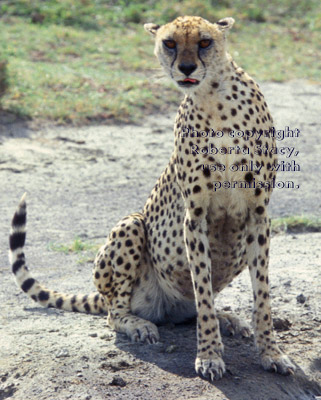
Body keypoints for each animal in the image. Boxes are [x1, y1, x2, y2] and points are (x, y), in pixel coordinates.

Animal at [9, 15, 296, 380]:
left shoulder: (258, 214)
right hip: (131, 226)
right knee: (115, 312)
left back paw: (227, 318)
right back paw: (139, 324)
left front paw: (272, 353)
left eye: (204, 42)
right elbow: (203, 289)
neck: (213, 98)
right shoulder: (195, 216)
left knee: (194, 304)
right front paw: (209, 355)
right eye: (169, 43)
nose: (186, 67)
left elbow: (261, 295)